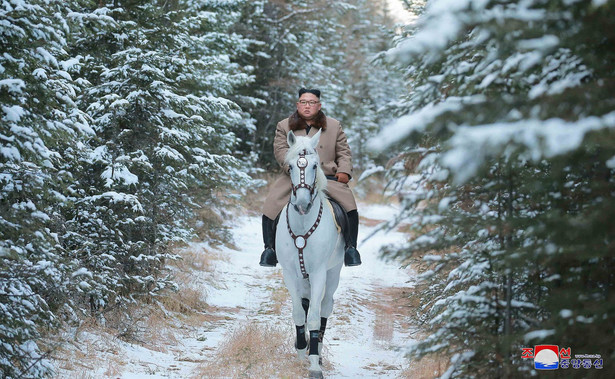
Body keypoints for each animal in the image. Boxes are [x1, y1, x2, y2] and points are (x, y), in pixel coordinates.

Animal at [276, 129, 344, 378]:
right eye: (291, 167)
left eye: (315, 165)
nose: (303, 204)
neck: (303, 224)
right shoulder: (289, 273)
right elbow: (298, 313)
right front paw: (300, 351)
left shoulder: (318, 274)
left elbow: (314, 317)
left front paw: (314, 363)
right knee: (305, 305)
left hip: (333, 273)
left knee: (324, 307)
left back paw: (319, 352)